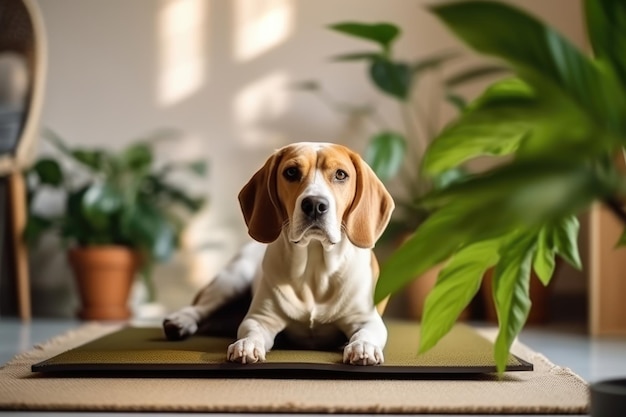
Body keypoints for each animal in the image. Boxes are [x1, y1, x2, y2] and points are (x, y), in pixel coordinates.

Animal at [163, 142, 392, 364]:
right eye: (291, 172)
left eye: (341, 174)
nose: (315, 204)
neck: (314, 268)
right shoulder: (260, 318)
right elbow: (252, 332)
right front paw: (247, 345)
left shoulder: (367, 319)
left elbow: (365, 334)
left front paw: (363, 347)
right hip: (232, 280)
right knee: (199, 308)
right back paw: (180, 321)